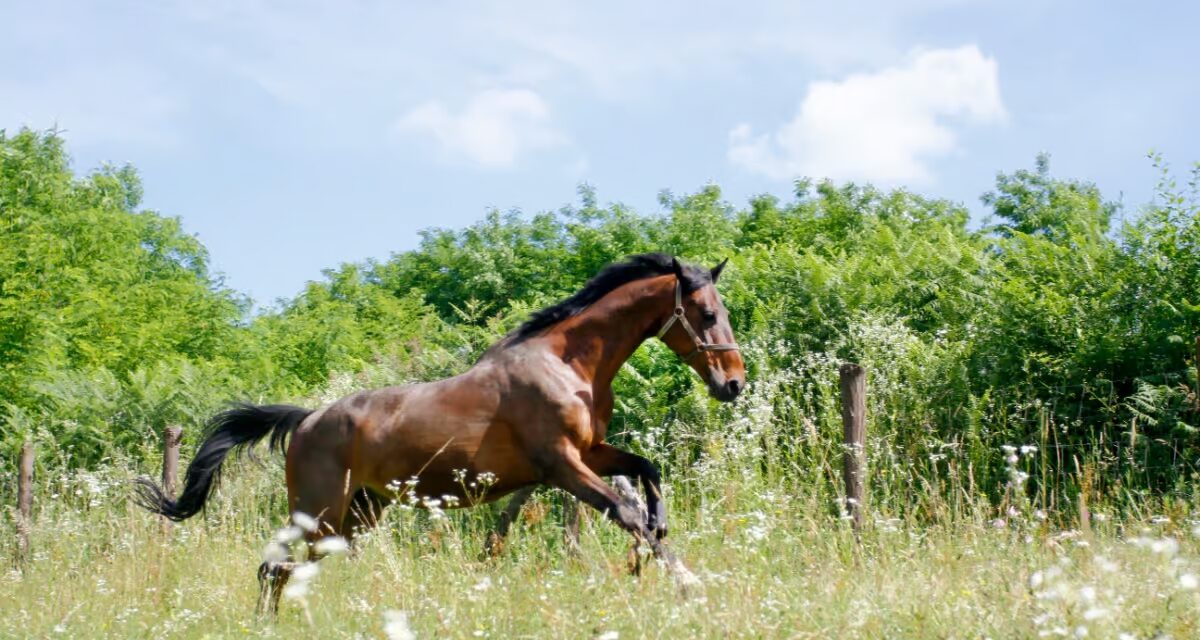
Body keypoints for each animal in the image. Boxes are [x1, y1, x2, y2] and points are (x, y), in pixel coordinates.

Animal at [135, 253, 745, 613]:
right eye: (707, 314)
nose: (733, 383)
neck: (568, 365)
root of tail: (305, 420)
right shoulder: (563, 465)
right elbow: (627, 513)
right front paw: (689, 585)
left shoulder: (591, 452)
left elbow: (646, 472)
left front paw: (664, 535)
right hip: (319, 510)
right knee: (273, 568)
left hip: (358, 514)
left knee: (287, 569)